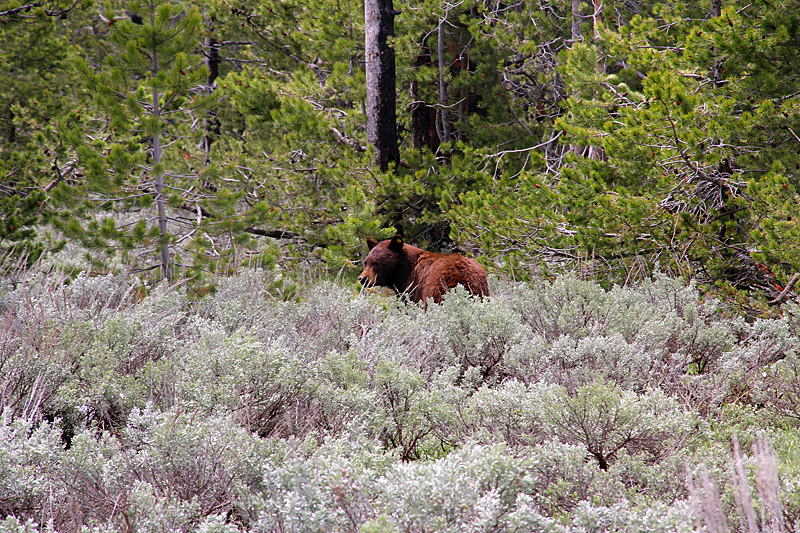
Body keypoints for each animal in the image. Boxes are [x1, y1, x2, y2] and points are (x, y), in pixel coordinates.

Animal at [360, 235, 488, 306]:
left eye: (377, 262)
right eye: (366, 262)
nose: (363, 278)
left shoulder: (412, 289)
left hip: (436, 291)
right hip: (481, 291)